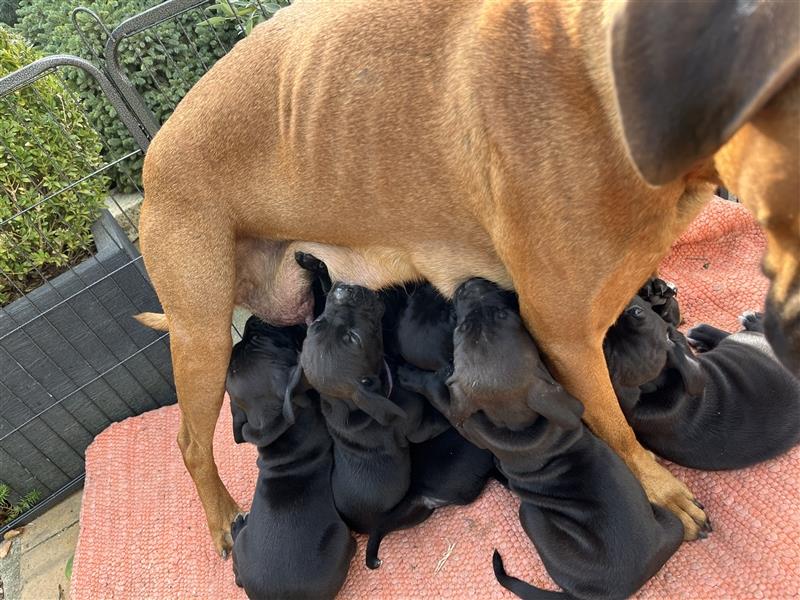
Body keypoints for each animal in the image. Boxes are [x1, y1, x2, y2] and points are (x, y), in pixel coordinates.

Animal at [223, 316, 352, 596]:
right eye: (270, 340)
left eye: (254, 340)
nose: (253, 320)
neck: (276, 428)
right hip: (341, 536)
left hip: (242, 550)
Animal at [404, 278, 684, 600]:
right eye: (462, 327)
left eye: (504, 316)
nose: (469, 283)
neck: (516, 421)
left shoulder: (464, 418)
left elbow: (441, 395)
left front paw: (409, 375)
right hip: (669, 523)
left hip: (530, 514)